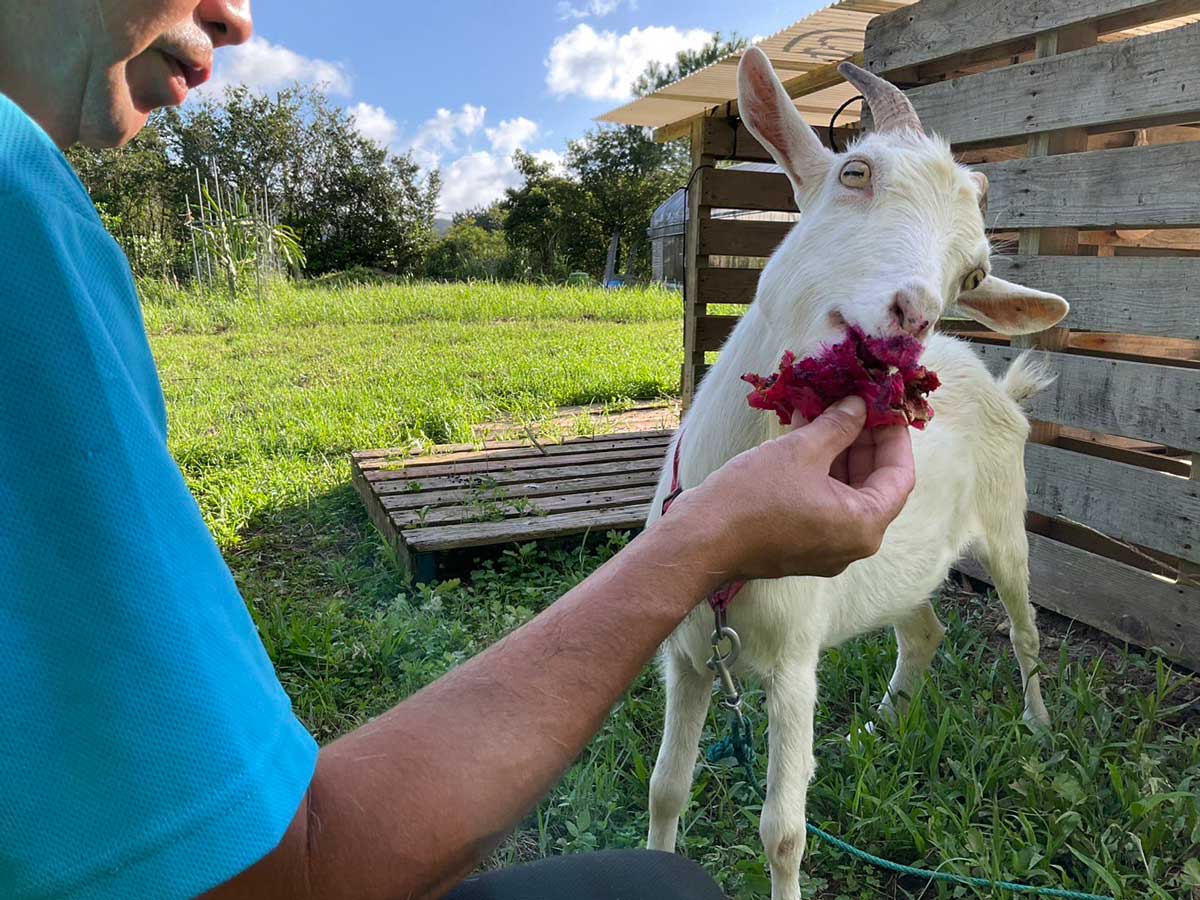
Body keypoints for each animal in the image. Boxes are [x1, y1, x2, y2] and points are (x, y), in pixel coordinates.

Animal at [648, 51, 1070, 900]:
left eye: (973, 274)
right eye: (855, 171)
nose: (913, 315)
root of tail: (995, 382)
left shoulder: (794, 659)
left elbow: (782, 832)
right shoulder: (687, 654)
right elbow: (666, 788)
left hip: (1007, 523)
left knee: (1024, 628)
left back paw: (1039, 727)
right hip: (904, 565)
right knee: (925, 629)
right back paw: (882, 723)